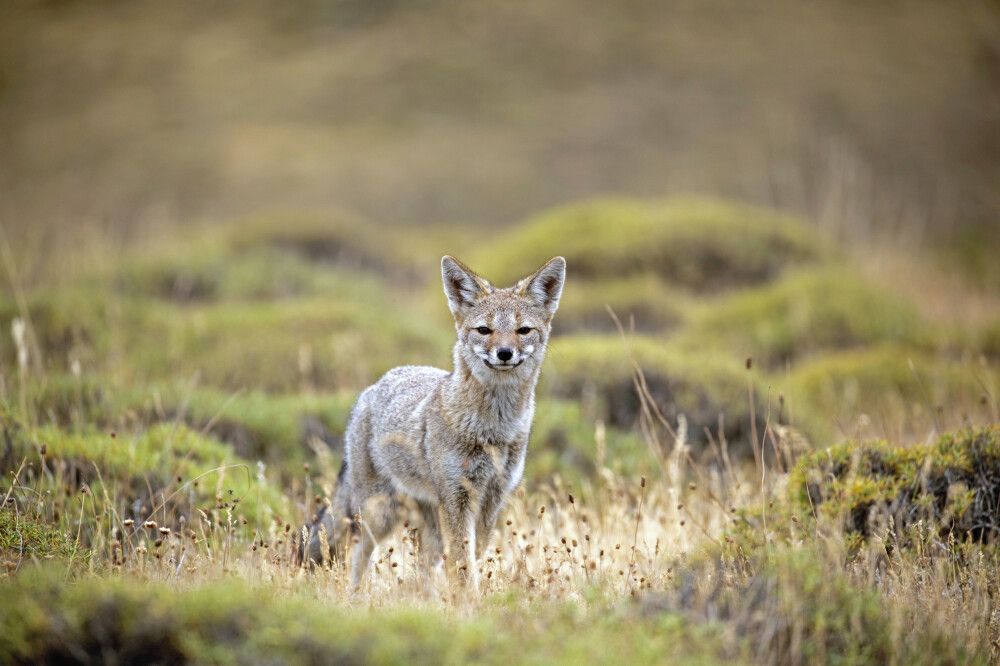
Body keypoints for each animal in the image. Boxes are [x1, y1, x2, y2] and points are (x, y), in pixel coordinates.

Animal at [300, 253, 568, 588]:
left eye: (523, 330)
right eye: (484, 330)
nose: (504, 353)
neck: (492, 428)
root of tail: (372, 388)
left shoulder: (492, 497)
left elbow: (471, 558)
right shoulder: (456, 496)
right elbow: (463, 564)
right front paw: (468, 599)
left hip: (428, 520)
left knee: (423, 569)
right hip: (379, 513)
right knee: (359, 556)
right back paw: (356, 596)